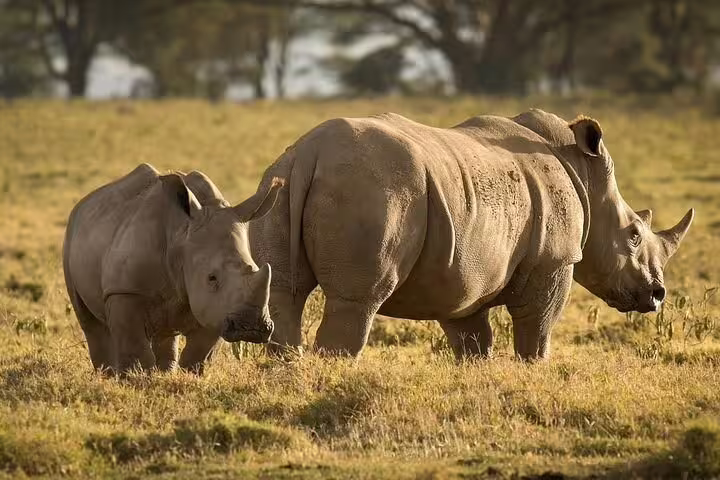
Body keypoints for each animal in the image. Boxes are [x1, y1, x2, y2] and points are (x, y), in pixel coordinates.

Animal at [63, 163, 282, 374]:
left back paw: (164, 372)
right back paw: (106, 375)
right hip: (72, 233)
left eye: (255, 268)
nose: (251, 327)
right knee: (91, 324)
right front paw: (136, 378)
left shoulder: (216, 307)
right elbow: (134, 345)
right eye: (211, 277)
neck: (180, 235)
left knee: (165, 329)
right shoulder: (124, 290)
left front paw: (189, 375)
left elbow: (201, 350)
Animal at [249, 109, 693, 361]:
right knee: (357, 301)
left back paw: (286, 376)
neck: (584, 173)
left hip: (279, 181)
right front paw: (532, 371)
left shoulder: (463, 273)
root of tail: (310, 151)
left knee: (284, 293)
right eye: (633, 234)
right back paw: (335, 374)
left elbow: (473, 340)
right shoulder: (554, 260)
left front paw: (476, 378)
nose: (657, 295)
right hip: (374, 190)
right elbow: (537, 330)